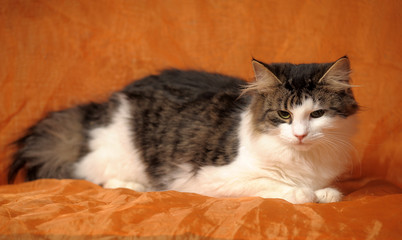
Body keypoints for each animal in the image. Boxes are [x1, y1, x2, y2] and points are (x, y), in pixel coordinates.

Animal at [7, 56, 358, 204]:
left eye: (317, 114)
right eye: (284, 115)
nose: (300, 135)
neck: (303, 160)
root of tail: (101, 106)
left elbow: (323, 190)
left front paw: (325, 193)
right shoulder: (213, 179)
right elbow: (280, 186)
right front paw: (304, 193)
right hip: (122, 153)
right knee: (95, 174)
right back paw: (137, 187)